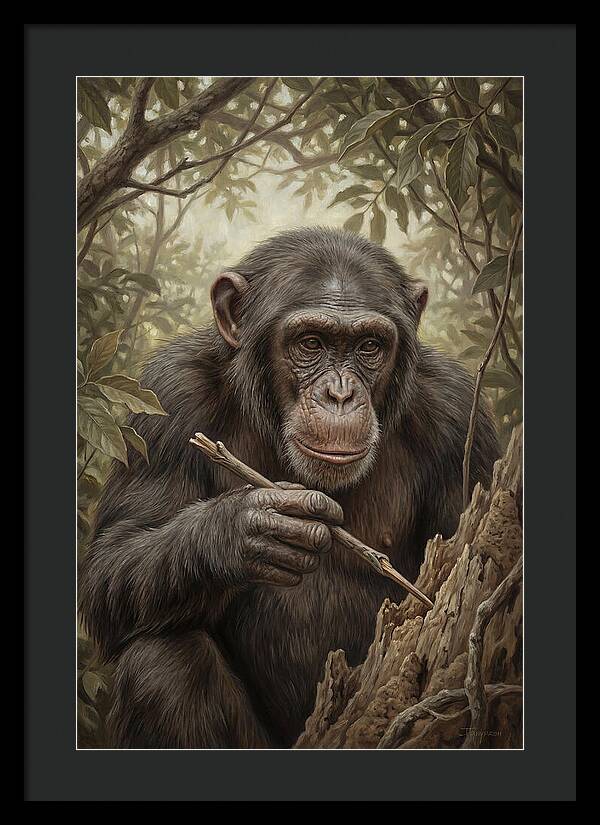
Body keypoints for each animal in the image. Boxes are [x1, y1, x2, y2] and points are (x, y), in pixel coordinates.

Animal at [78, 227, 499, 748]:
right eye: (310, 343)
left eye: (369, 346)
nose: (339, 394)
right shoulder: (167, 396)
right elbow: (111, 562)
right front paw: (246, 530)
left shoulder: (460, 416)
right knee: (161, 661)